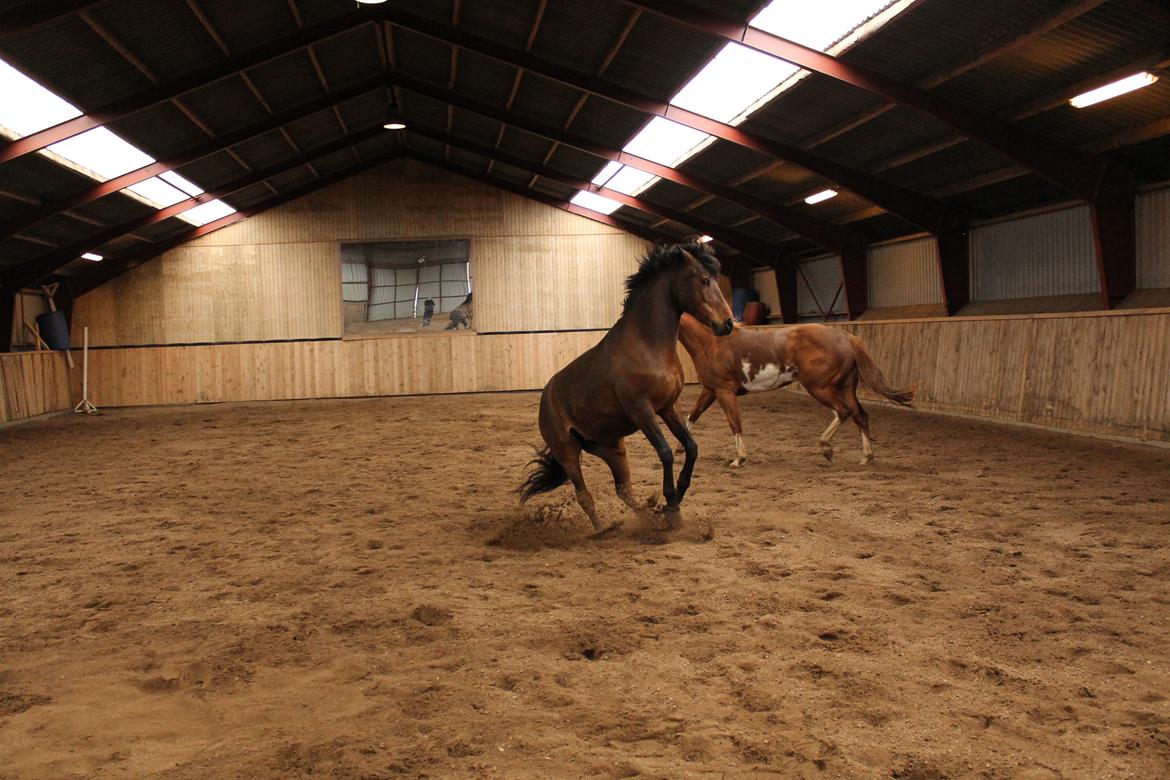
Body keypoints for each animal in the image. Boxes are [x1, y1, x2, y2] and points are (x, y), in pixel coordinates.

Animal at [519, 242, 735, 536]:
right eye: (704, 280)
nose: (728, 323)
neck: (647, 344)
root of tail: (545, 398)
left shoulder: (669, 408)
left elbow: (691, 447)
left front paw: (676, 497)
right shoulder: (642, 411)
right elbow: (666, 453)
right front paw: (672, 505)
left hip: (613, 448)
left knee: (624, 491)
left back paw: (649, 518)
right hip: (568, 453)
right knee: (584, 495)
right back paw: (602, 531)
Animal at [677, 313, 916, 466]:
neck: (712, 343)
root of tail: (846, 337)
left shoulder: (724, 391)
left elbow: (735, 423)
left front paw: (740, 458)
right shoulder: (710, 390)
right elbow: (694, 414)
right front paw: (681, 447)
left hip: (819, 387)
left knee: (843, 411)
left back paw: (826, 448)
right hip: (846, 386)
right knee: (860, 415)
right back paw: (866, 456)